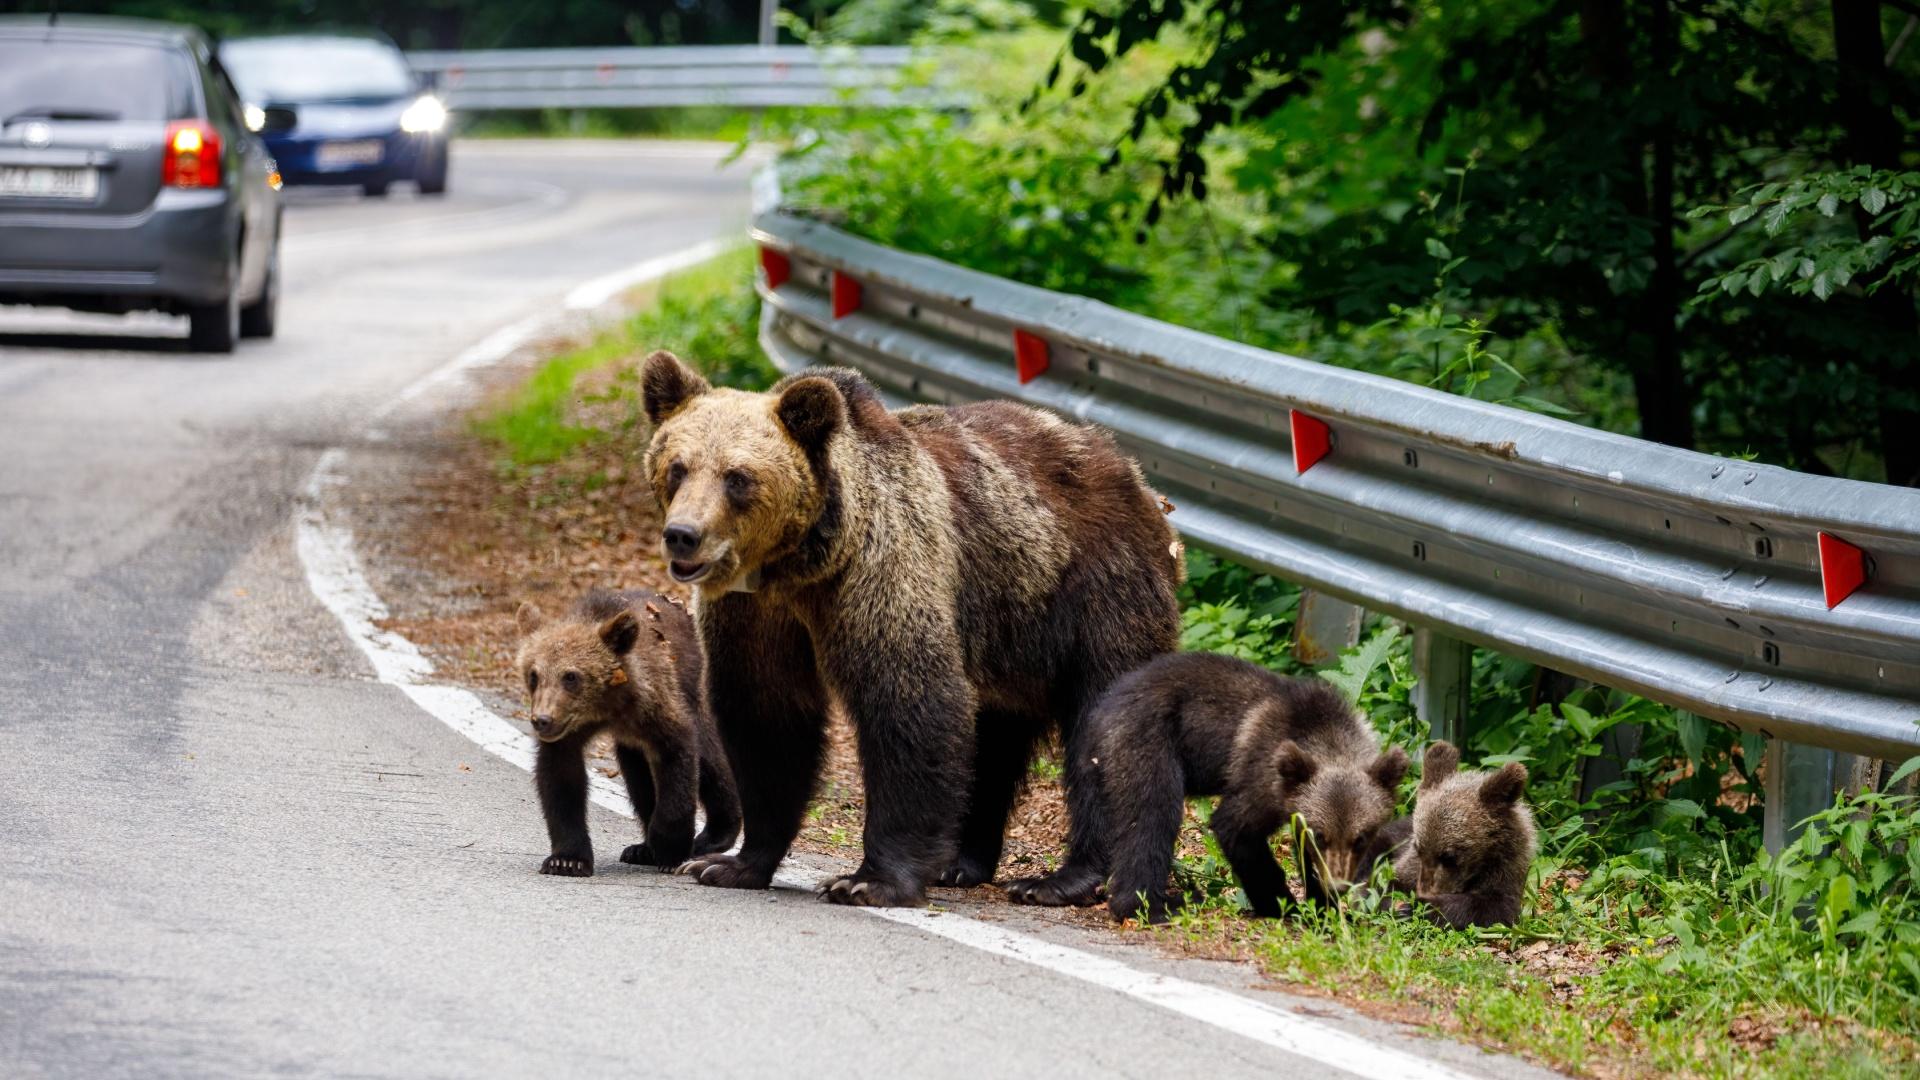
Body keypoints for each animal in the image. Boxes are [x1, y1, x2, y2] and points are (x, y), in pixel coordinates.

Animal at [645, 351, 1175, 899]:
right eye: (677, 467)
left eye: (737, 477)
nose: (684, 535)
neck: (800, 565)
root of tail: (1138, 480)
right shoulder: (754, 611)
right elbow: (767, 716)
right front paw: (730, 864)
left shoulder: (882, 569)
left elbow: (908, 699)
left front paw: (869, 880)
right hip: (1006, 637)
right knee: (993, 742)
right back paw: (961, 861)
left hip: (1099, 592)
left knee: (1102, 721)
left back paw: (1063, 879)